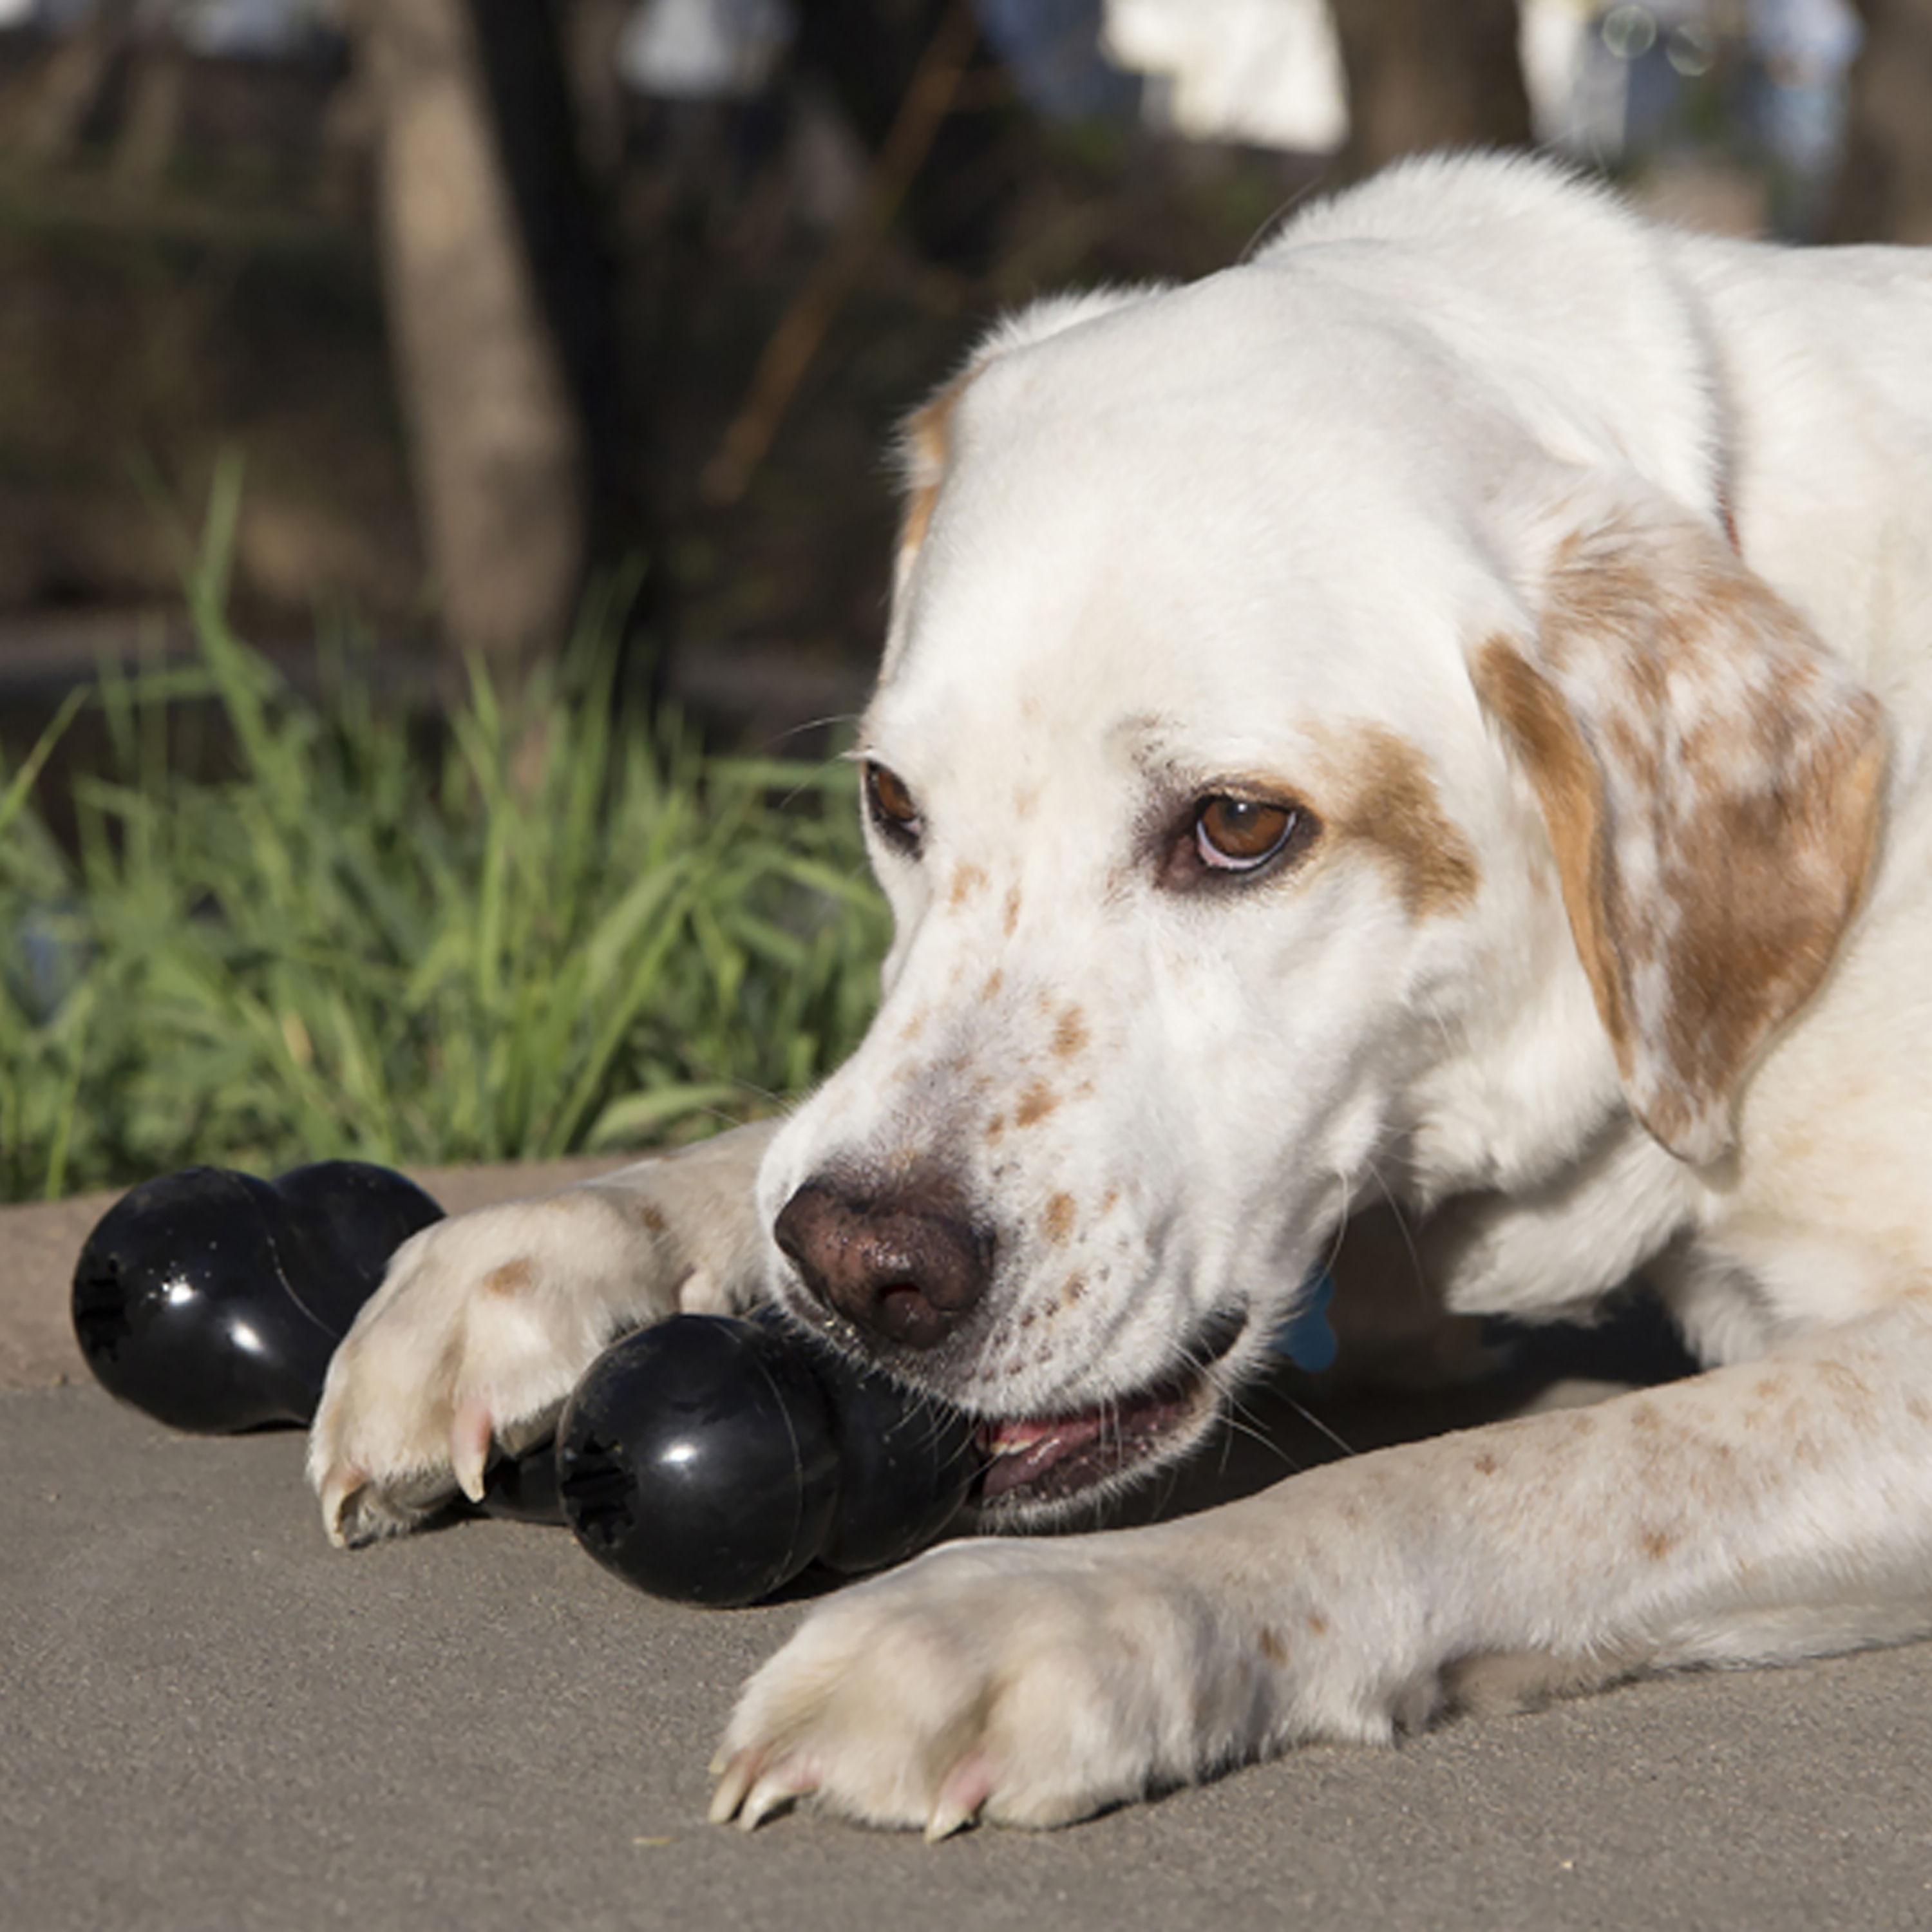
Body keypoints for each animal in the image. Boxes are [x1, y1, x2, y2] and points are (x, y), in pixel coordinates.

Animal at [305, 158, 1932, 1832]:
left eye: (1240, 825)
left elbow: (1515, 1470)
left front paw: (1062, 1613)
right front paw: (549, 1242)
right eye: (892, 799)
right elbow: (758, 1151)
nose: (862, 1271)